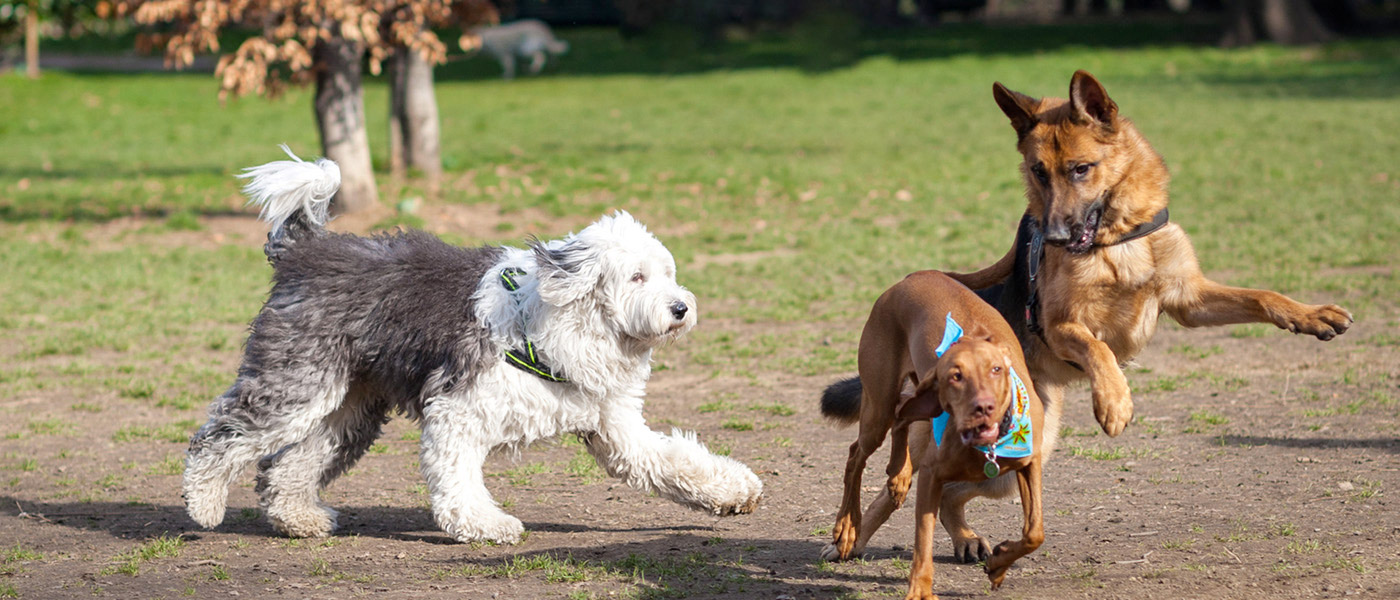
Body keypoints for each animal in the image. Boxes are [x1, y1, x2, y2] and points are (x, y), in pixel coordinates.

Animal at [183, 146, 767, 542]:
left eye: (668, 274)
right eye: (636, 277)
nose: (681, 308)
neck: (565, 323)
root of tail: (307, 253)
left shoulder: (615, 427)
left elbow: (670, 460)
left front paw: (733, 490)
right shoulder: (457, 410)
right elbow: (458, 479)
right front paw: (487, 525)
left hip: (348, 406)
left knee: (289, 465)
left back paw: (298, 518)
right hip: (297, 385)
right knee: (220, 436)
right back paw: (204, 503)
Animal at [817, 272, 1052, 598]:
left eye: (996, 369)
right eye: (956, 376)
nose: (984, 407)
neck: (985, 448)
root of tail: (920, 274)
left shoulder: (1029, 464)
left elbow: (1034, 532)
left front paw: (998, 564)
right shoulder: (932, 475)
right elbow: (923, 540)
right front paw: (920, 589)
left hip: (918, 397)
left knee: (901, 416)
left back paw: (898, 475)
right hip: (879, 404)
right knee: (857, 454)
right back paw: (847, 527)